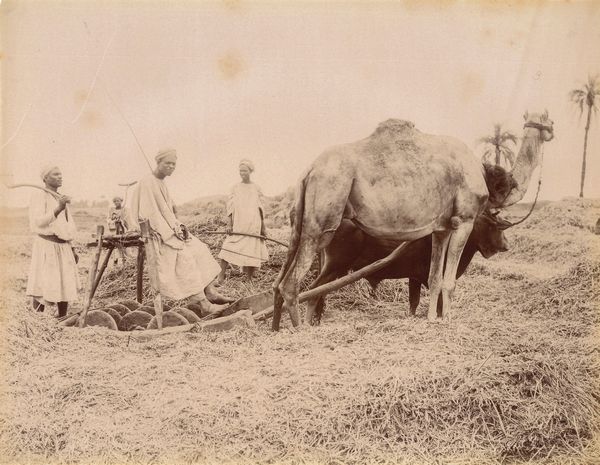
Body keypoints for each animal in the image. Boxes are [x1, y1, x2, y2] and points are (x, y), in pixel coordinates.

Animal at [272, 110, 552, 328]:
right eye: (546, 117)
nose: (551, 129)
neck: (486, 177)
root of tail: (308, 170)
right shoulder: (465, 218)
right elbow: (449, 282)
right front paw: (447, 321)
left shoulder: (441, 227)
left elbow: (434, 278)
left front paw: (431, 320)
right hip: (322, 218)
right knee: (293, 284)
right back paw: (299, 330)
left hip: (303, 222)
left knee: (281, 284)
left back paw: (278, 328)